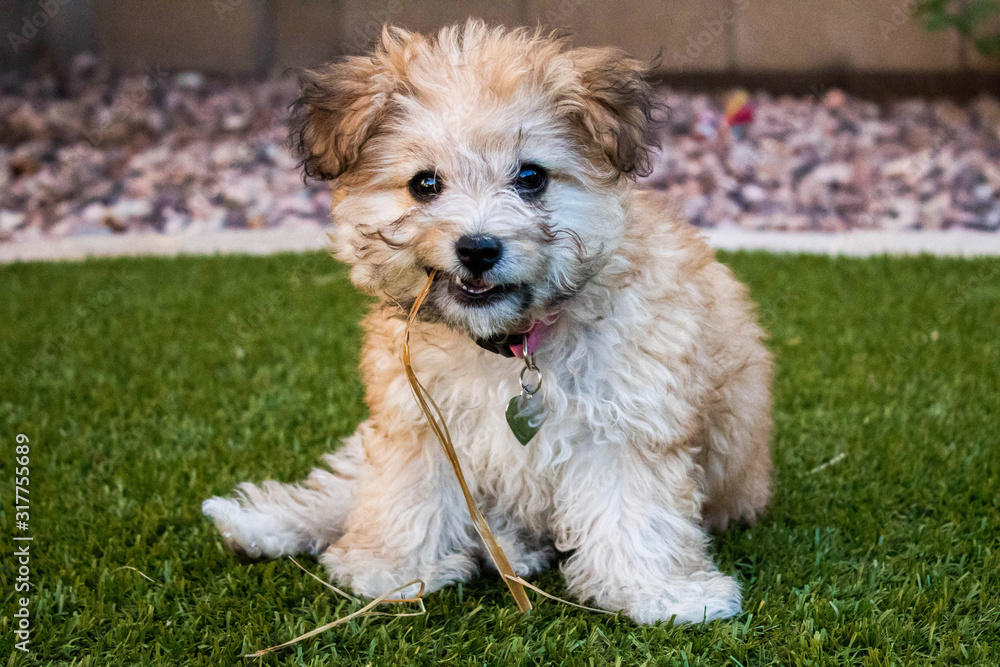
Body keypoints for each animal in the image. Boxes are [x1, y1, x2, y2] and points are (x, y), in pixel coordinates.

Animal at [203, 20, 772, 628]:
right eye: (424, 184)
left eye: (531, 177)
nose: (477, 248)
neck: (510, 341)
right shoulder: (420, 418)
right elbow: (408, 494)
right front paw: (392, 568)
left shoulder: (627, 422)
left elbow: (635, 513)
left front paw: (660, 592)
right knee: (344, 489)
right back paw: (259, 525)